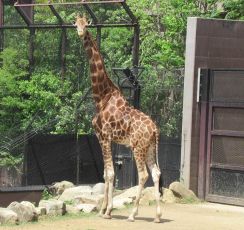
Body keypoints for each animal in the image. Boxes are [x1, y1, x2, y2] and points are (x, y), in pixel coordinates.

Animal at [74, 15, 162, 223]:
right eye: (75, 24)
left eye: (86, 24)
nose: (80, 33)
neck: (102, 96)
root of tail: (155, 129)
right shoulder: (109, 139)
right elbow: (106, 173)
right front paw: (103, 209)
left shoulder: (104, 137)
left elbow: (110, 173)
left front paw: (106, 211)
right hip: (150, 147)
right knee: (156, 173)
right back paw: (157, 216)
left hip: (138, 147)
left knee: (143, 174)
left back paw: (132, 214)